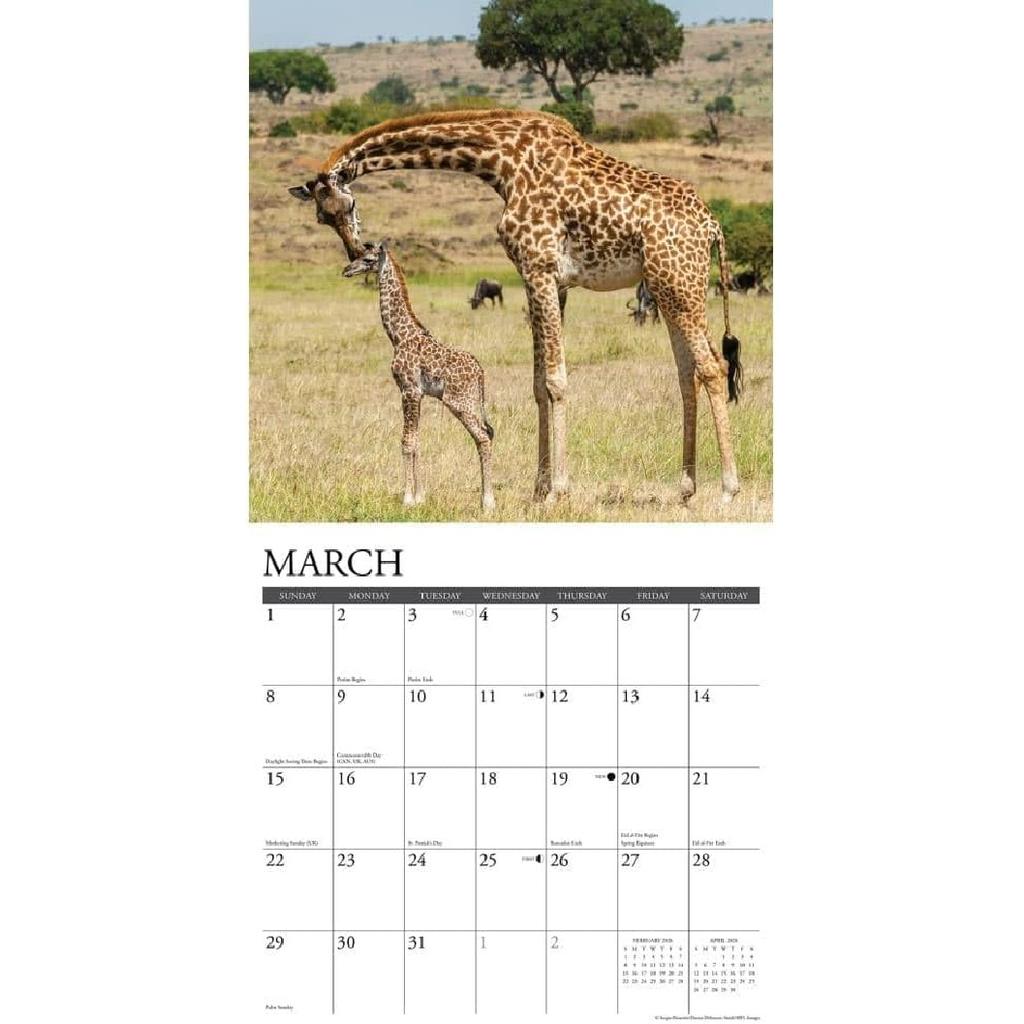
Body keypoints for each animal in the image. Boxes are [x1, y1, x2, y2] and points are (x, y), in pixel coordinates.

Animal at [341, 241, 496, 510]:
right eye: (360, 256)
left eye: (369, 259)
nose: (346, 270)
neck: (398, 336)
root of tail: (480, 372)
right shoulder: (419, 394)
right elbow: (417, 441)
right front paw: (421, 496)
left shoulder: (408, 390)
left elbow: (407, 442)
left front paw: (408, 499)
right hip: (468, 402)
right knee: (484, 436)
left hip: (459, 402)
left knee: (483, 437)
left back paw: (488, 501)